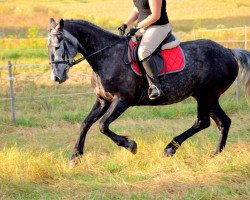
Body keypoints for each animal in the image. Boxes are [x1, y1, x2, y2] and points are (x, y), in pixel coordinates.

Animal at [47, 18, 250, 166]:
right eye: (47, 47)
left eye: (57, 46)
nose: (56, 77)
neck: (106, 57)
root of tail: (228, 51)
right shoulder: (103, 100)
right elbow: (85, 124)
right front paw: (75, 157)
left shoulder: (122, 101)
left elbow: (103, 125)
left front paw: (130, 145)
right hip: (207, 97)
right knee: (223, 122)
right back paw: (215, 155)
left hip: (206, 95)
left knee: (203, 122)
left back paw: (170, 149)